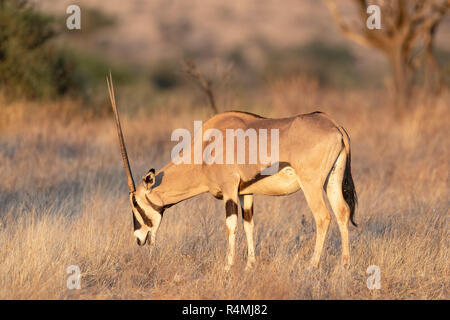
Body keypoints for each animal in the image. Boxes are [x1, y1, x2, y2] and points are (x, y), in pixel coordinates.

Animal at [107, 75, 356, 270]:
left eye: (135, 203)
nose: (139, 239)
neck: (205, 149)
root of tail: (334, 125)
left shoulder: (229, 190)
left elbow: (231, 225)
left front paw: (228, 267)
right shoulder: (246, 192)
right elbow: (249, 224)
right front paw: (249, 266)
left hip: (311, 184)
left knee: (323, 216)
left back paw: (312, 266)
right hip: (332, 180)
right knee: (342, 212)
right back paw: (344, 266)